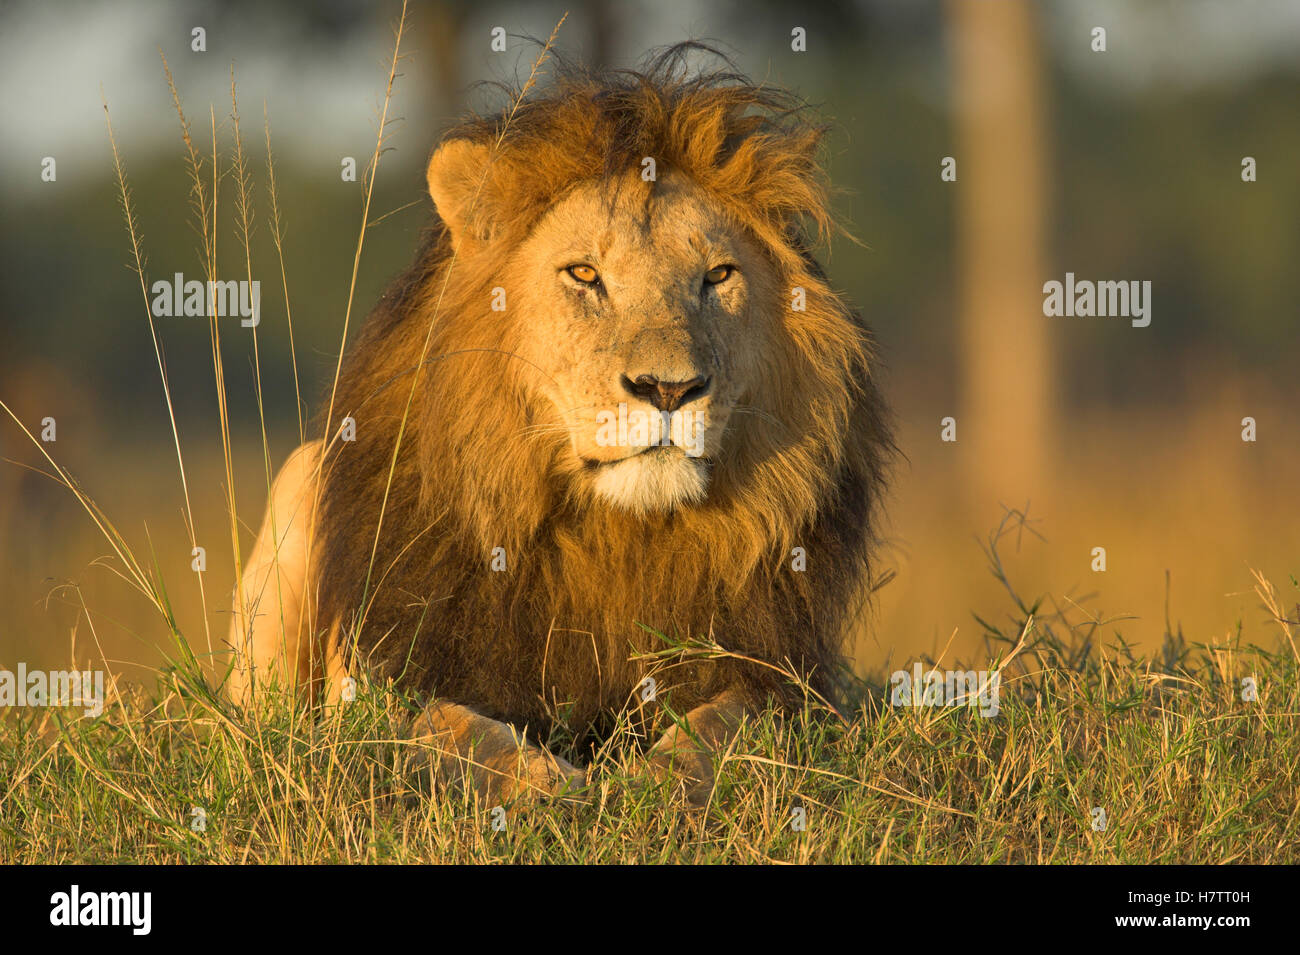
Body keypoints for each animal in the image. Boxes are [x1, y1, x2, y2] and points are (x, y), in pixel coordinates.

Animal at [227, 46, 893, 806]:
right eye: (584, 274)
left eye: (718, 275)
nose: (669, 388)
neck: (615, 537)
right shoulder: (387, 675)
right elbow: (454, 729)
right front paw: (548, 787)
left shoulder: (783, 676)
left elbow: (726, 723)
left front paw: (657, 782)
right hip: (300, 480)